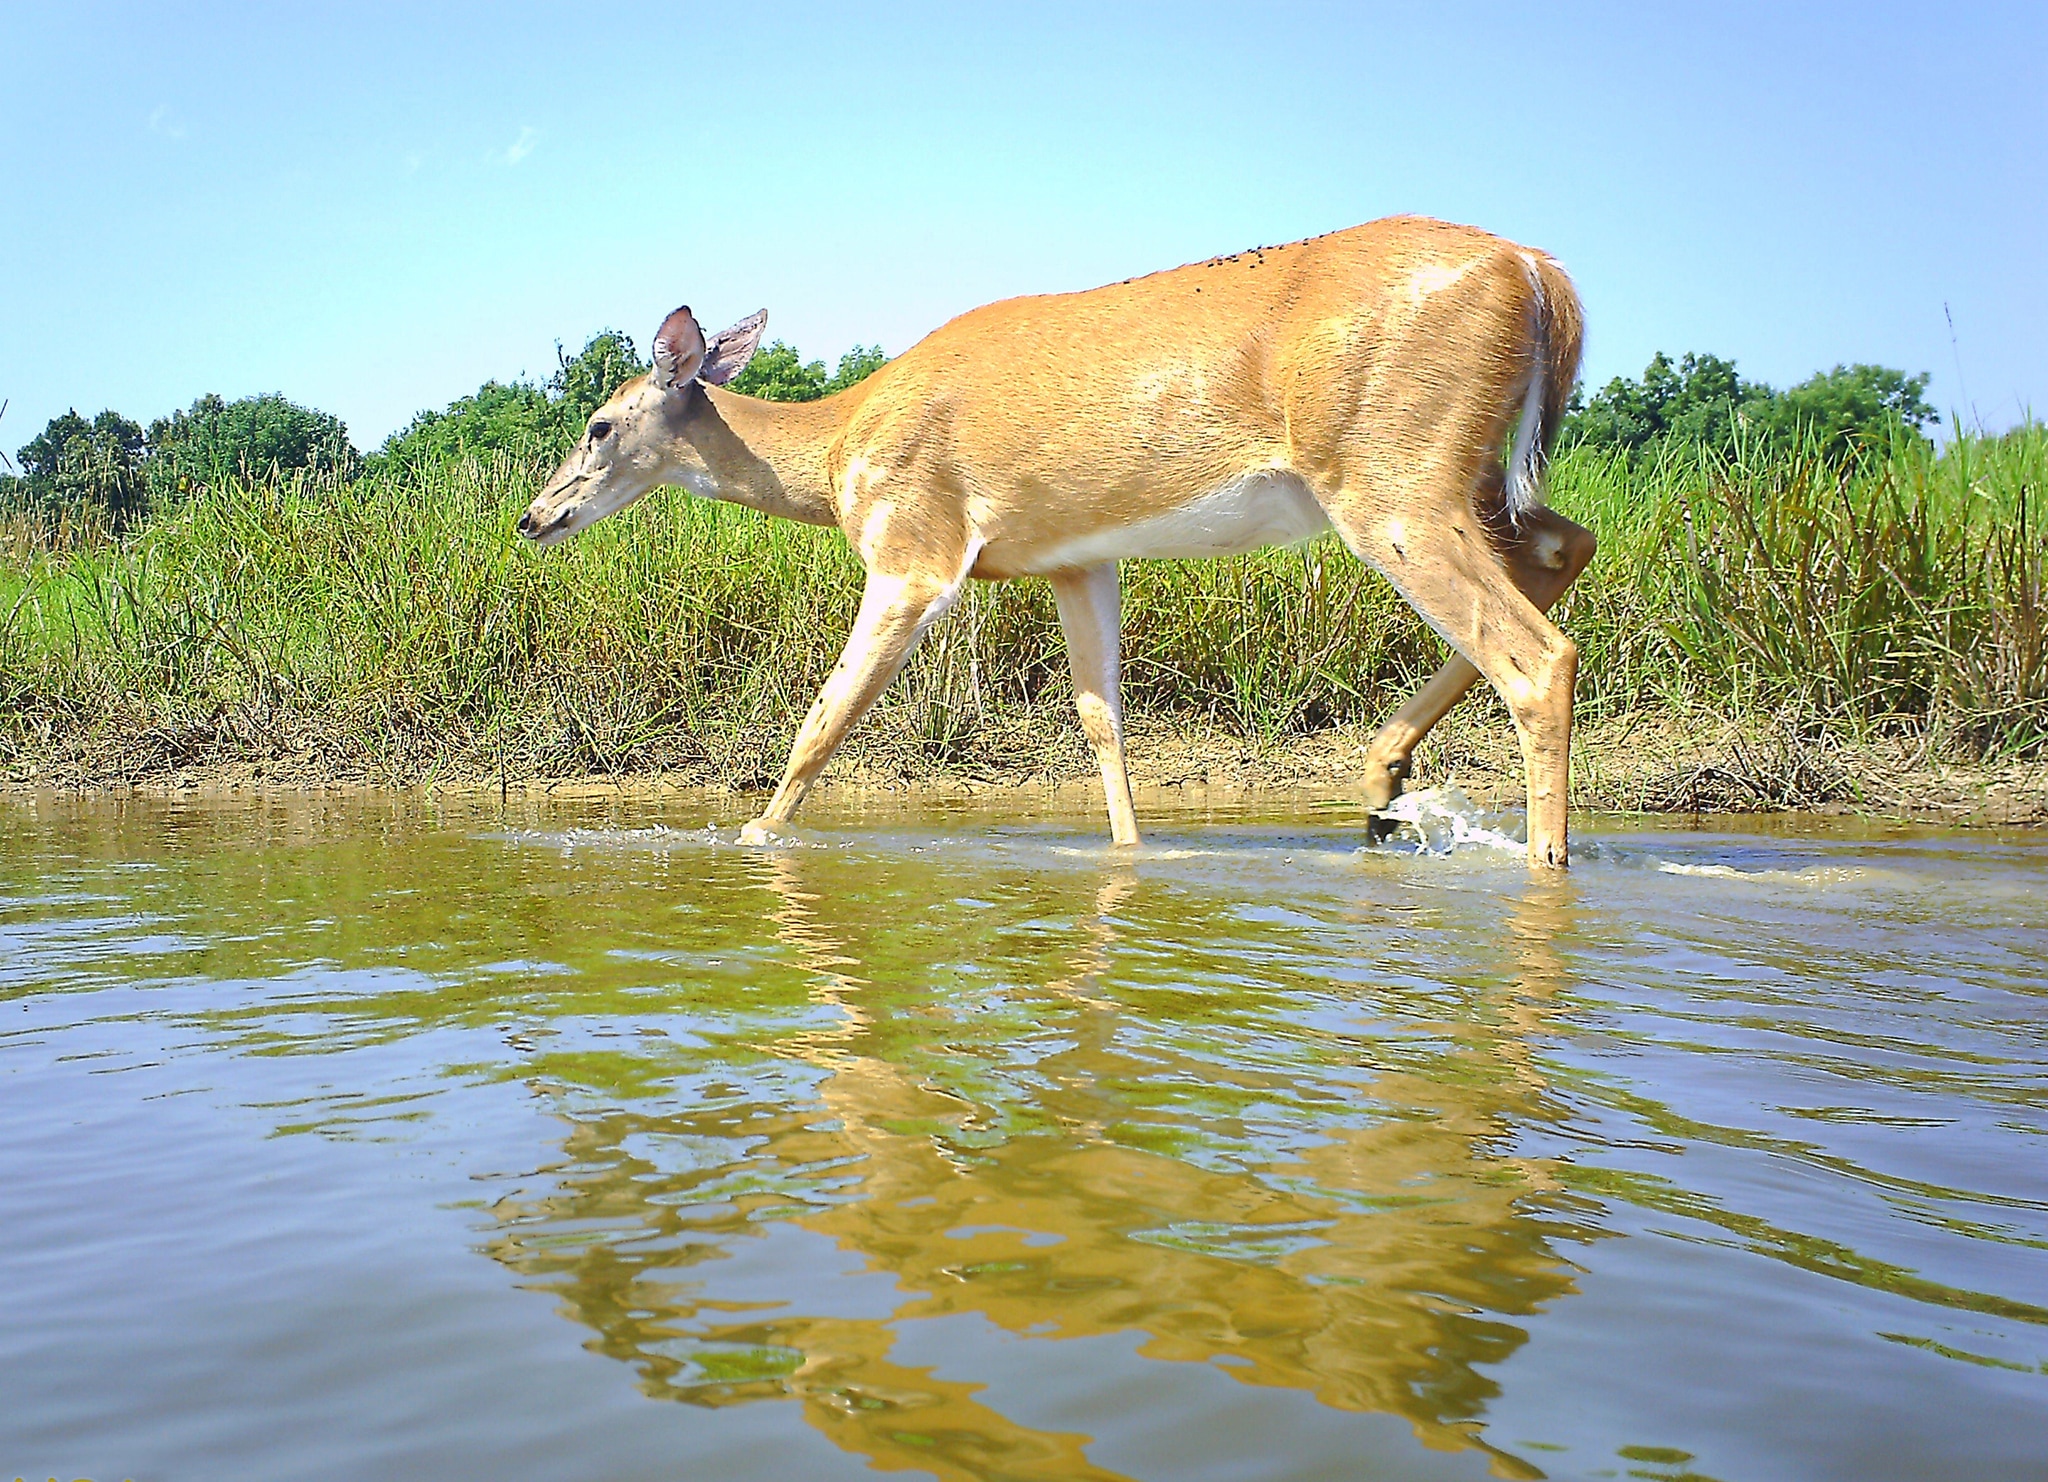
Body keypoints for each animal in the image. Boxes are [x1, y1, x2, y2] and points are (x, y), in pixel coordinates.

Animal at [516, 221, 1597, 867]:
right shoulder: (1077, 559)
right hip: (1467, 476)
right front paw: (1127, 856)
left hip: (1391, 474)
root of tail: (1538, 273)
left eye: (599, 426)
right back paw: (1382, 782)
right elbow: (1101, 720)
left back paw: (1539, 861)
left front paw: (752, 836)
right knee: (1565, 545)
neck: (833, 453)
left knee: (1537, 656)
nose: (534, 517)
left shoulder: (913, 545)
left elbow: (825, 715)